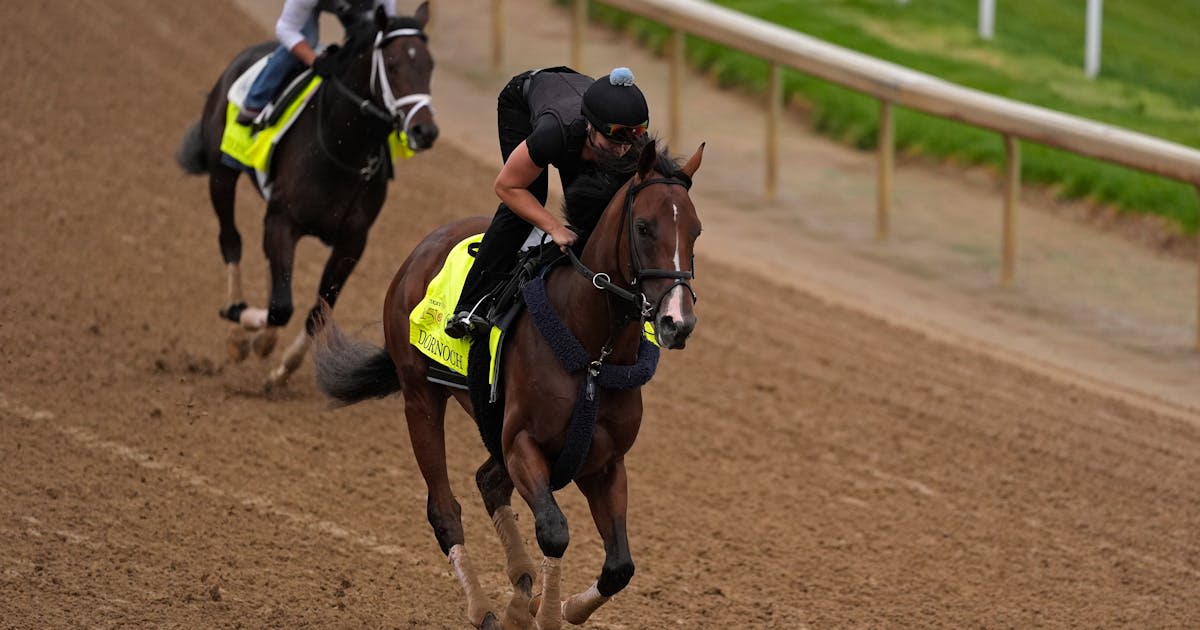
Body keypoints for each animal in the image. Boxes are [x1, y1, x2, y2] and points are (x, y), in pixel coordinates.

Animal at [175, 4, 439, 388]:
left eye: (430, 65)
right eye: (391, 64)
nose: (425, 131)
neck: (343, 147)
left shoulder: (352, 242)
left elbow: (318, 309)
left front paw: (284, 367)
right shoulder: (282, 220)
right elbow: (281, 306)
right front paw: (254, 334)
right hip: (222, 174)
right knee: (230, 239)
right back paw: (238, 322)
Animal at [312, 139, 700, 624]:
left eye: (696, 232)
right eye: (644, 227)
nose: (677, 322)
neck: (593, 352)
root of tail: (423, 248)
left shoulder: (605, 463)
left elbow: (619, 567)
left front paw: (558, 608)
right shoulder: (522, 444)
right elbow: (554, 530)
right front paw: (546, 614)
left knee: (488, 482)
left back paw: (520, 590)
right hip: (420, 395)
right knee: (444, 509)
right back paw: (485, 611)